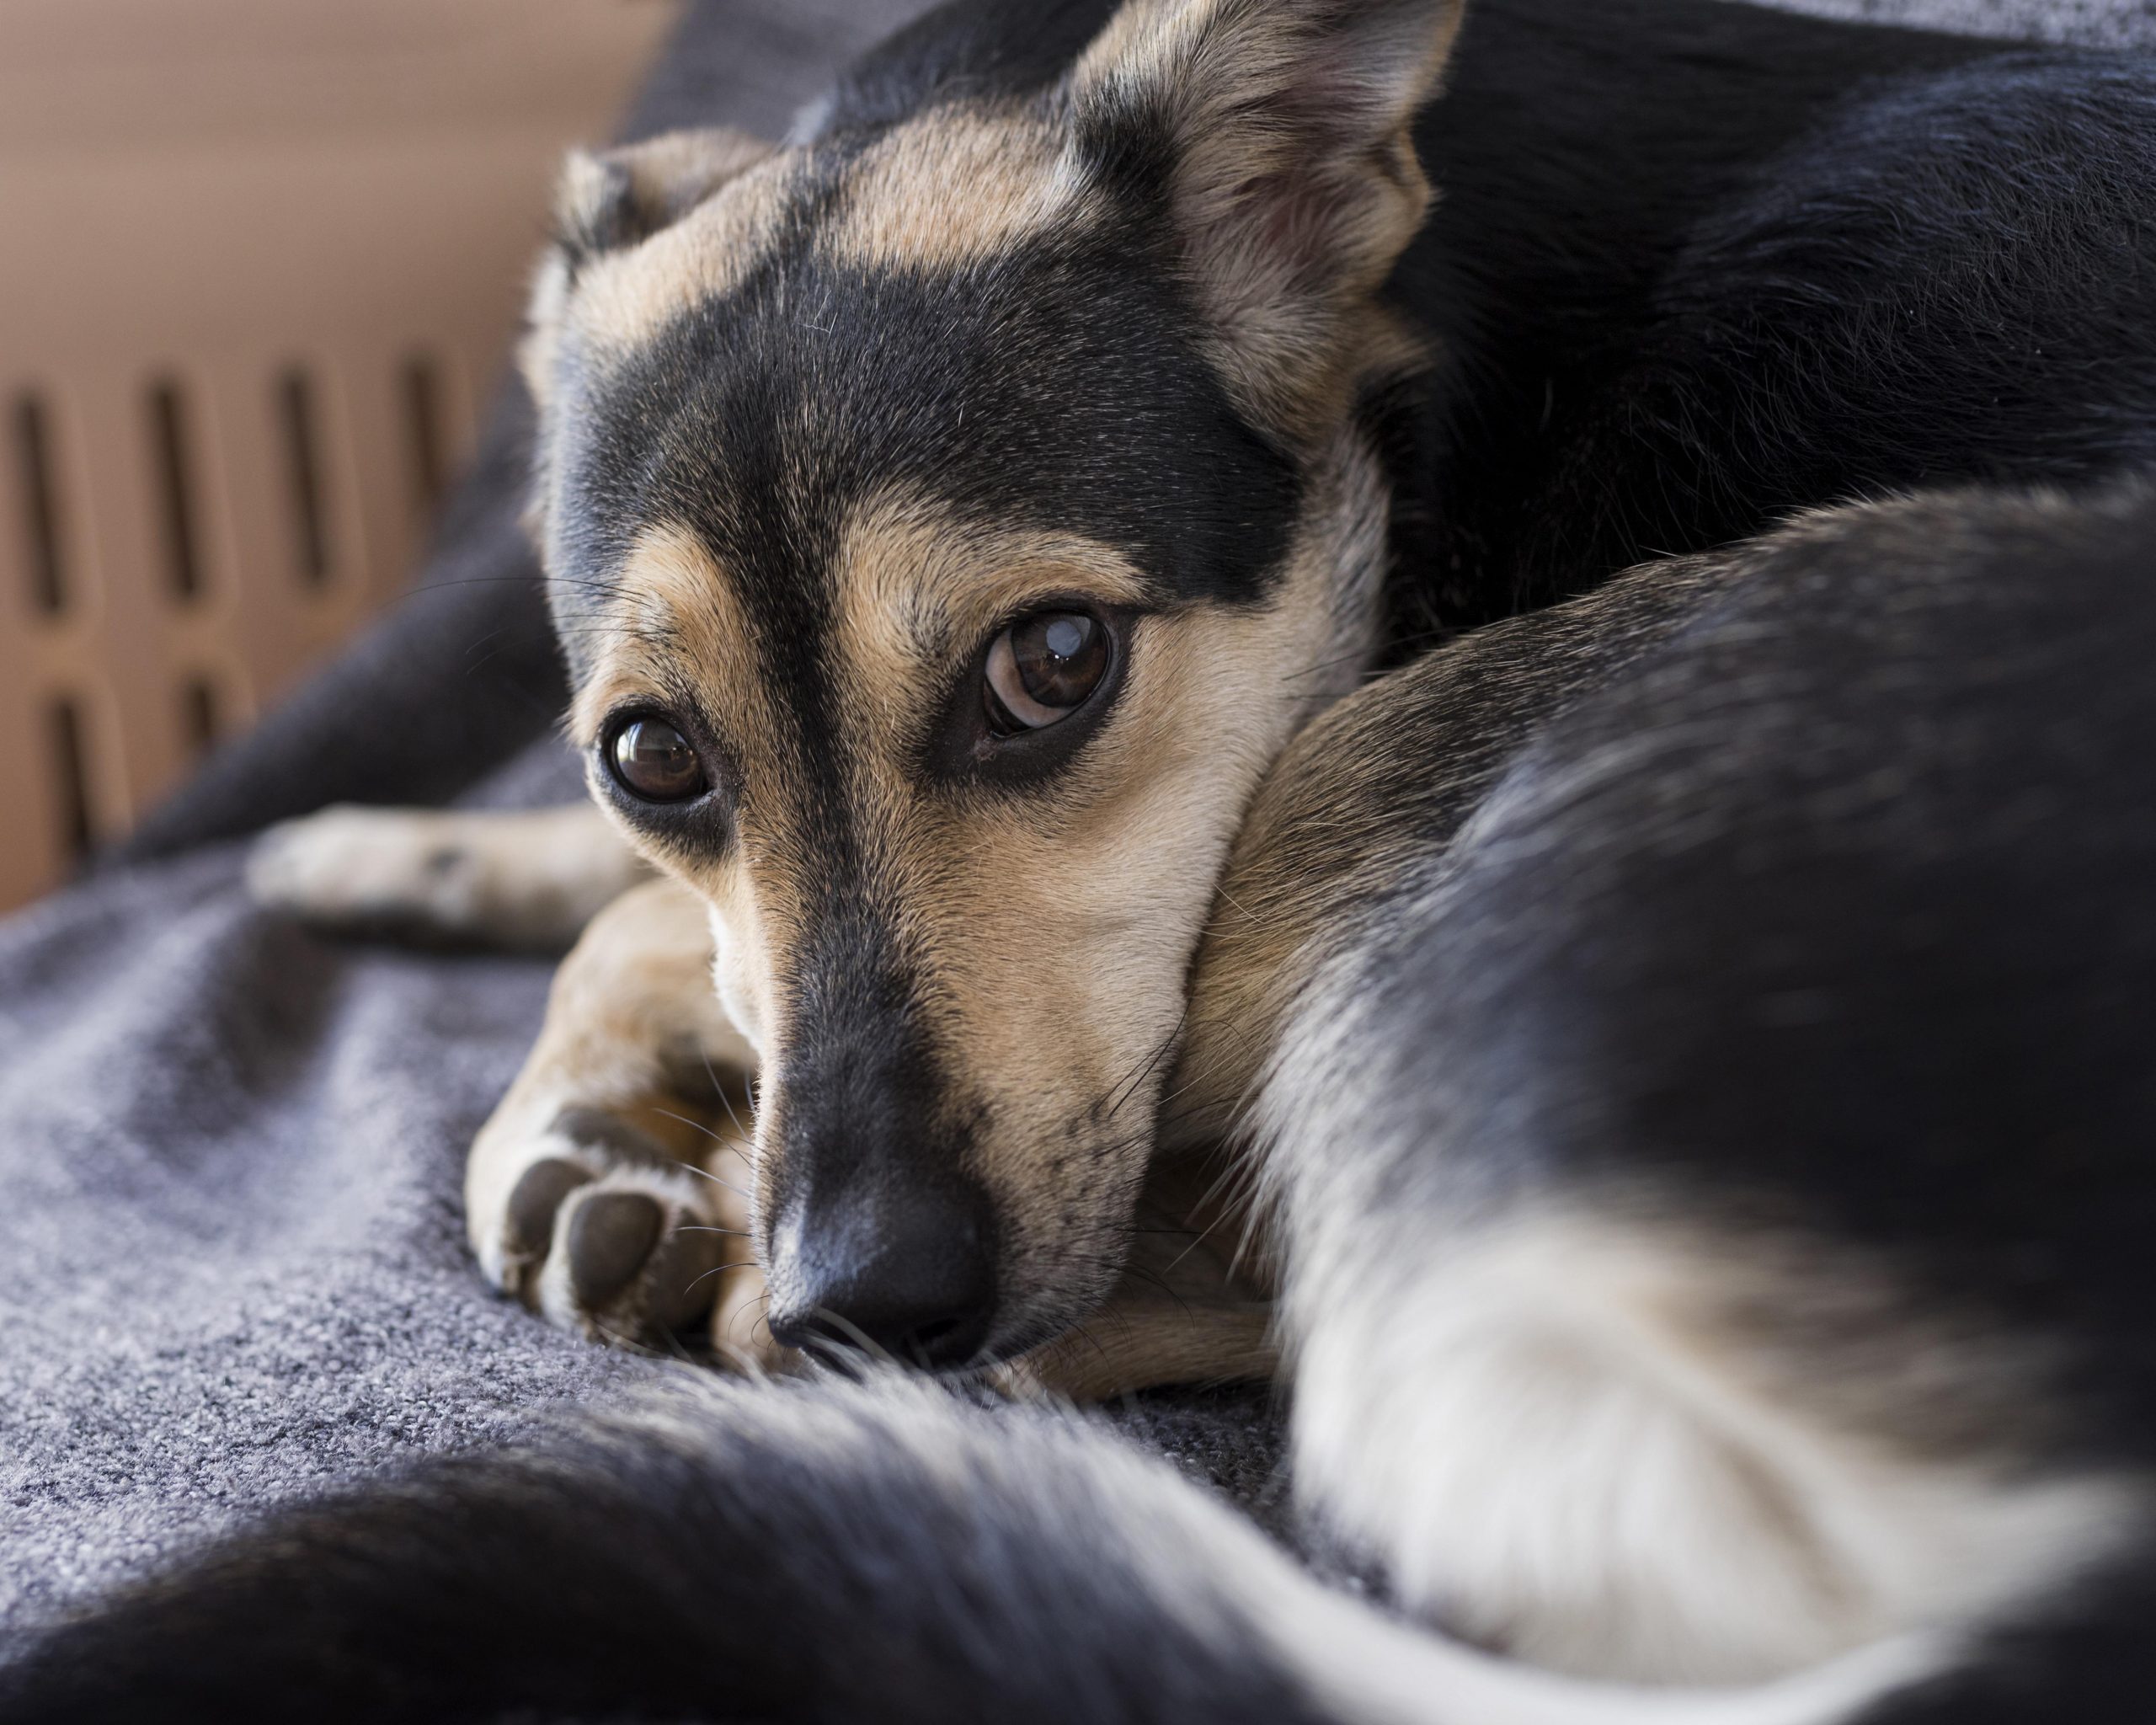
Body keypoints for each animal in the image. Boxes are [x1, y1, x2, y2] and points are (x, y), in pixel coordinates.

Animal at [4, 0, 2156, 1716]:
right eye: (648, 752)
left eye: (1051, 663)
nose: (864, 1298)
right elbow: (638, 900)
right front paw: (399, 856)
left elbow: (645, 941)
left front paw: (588, 1106)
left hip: (1425, 759)